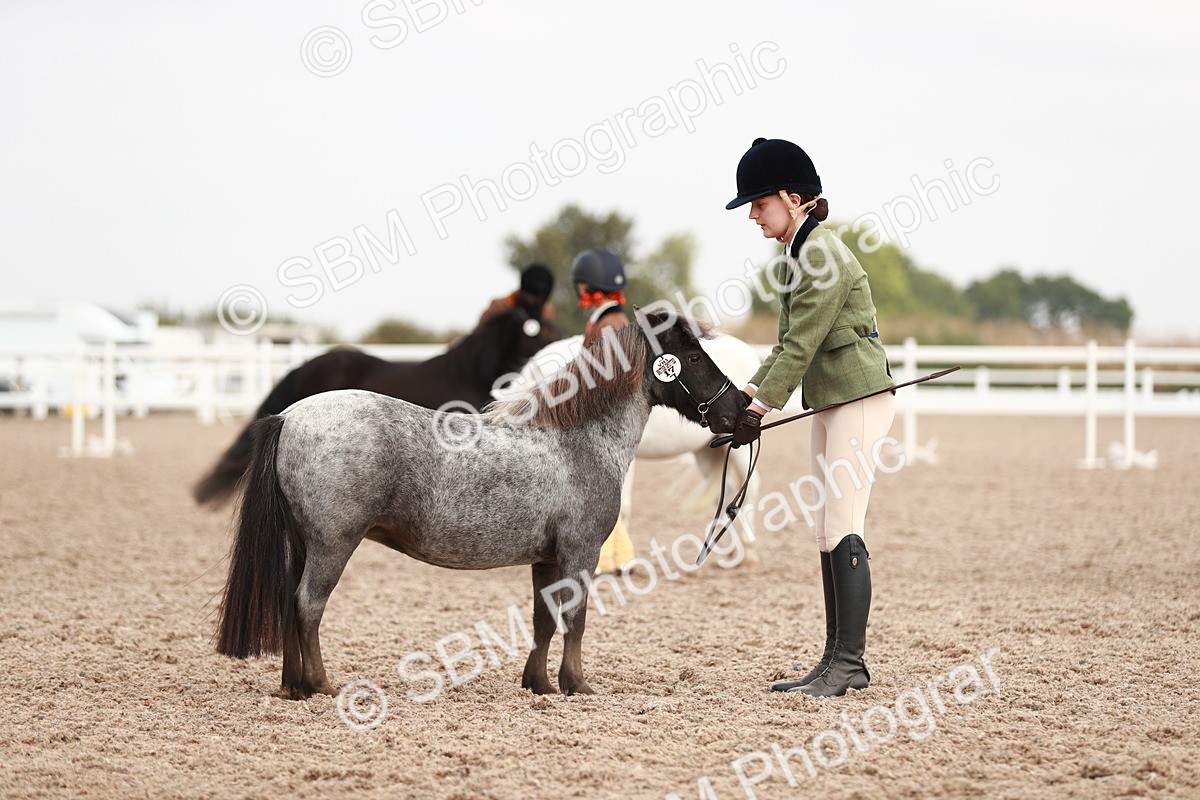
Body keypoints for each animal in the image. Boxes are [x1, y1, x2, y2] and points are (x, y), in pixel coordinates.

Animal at [497, 331, 763, 570]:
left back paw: (748, 553)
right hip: (707, 452)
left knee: (749, 490)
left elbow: (623, 509)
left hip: (736, 448)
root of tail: (748, 351)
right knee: (727, 492)